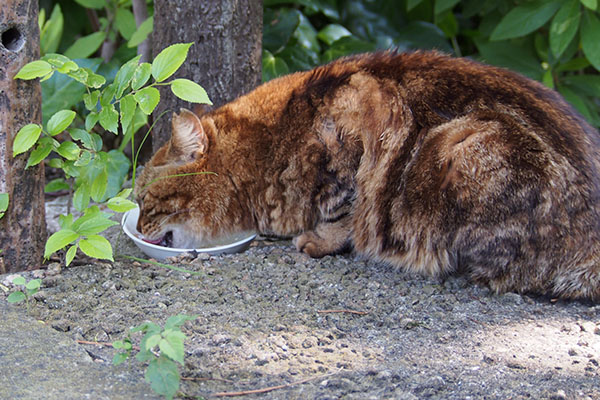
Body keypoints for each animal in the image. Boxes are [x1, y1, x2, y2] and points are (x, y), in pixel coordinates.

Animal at [135, 50, 600, 300]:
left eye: (144, 201)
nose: (137, 228)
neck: (265, 145)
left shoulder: (352, 143)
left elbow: (346, 208)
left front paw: (319, 240)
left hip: (461, 145)